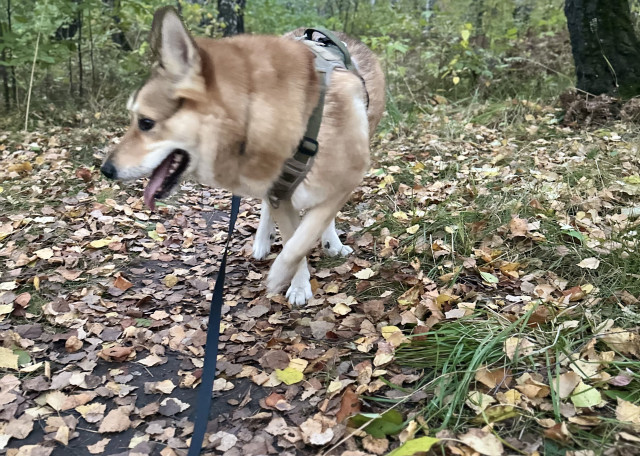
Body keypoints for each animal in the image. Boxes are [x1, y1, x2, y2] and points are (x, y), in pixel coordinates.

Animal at [100, 7, 385, 305]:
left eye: (145, 123)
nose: (105, 169)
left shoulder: (348, 180)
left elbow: (305, 235)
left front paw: (285, 272)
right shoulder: (280, 194)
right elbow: (292, 236)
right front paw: (297, 284)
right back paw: (262, 241)